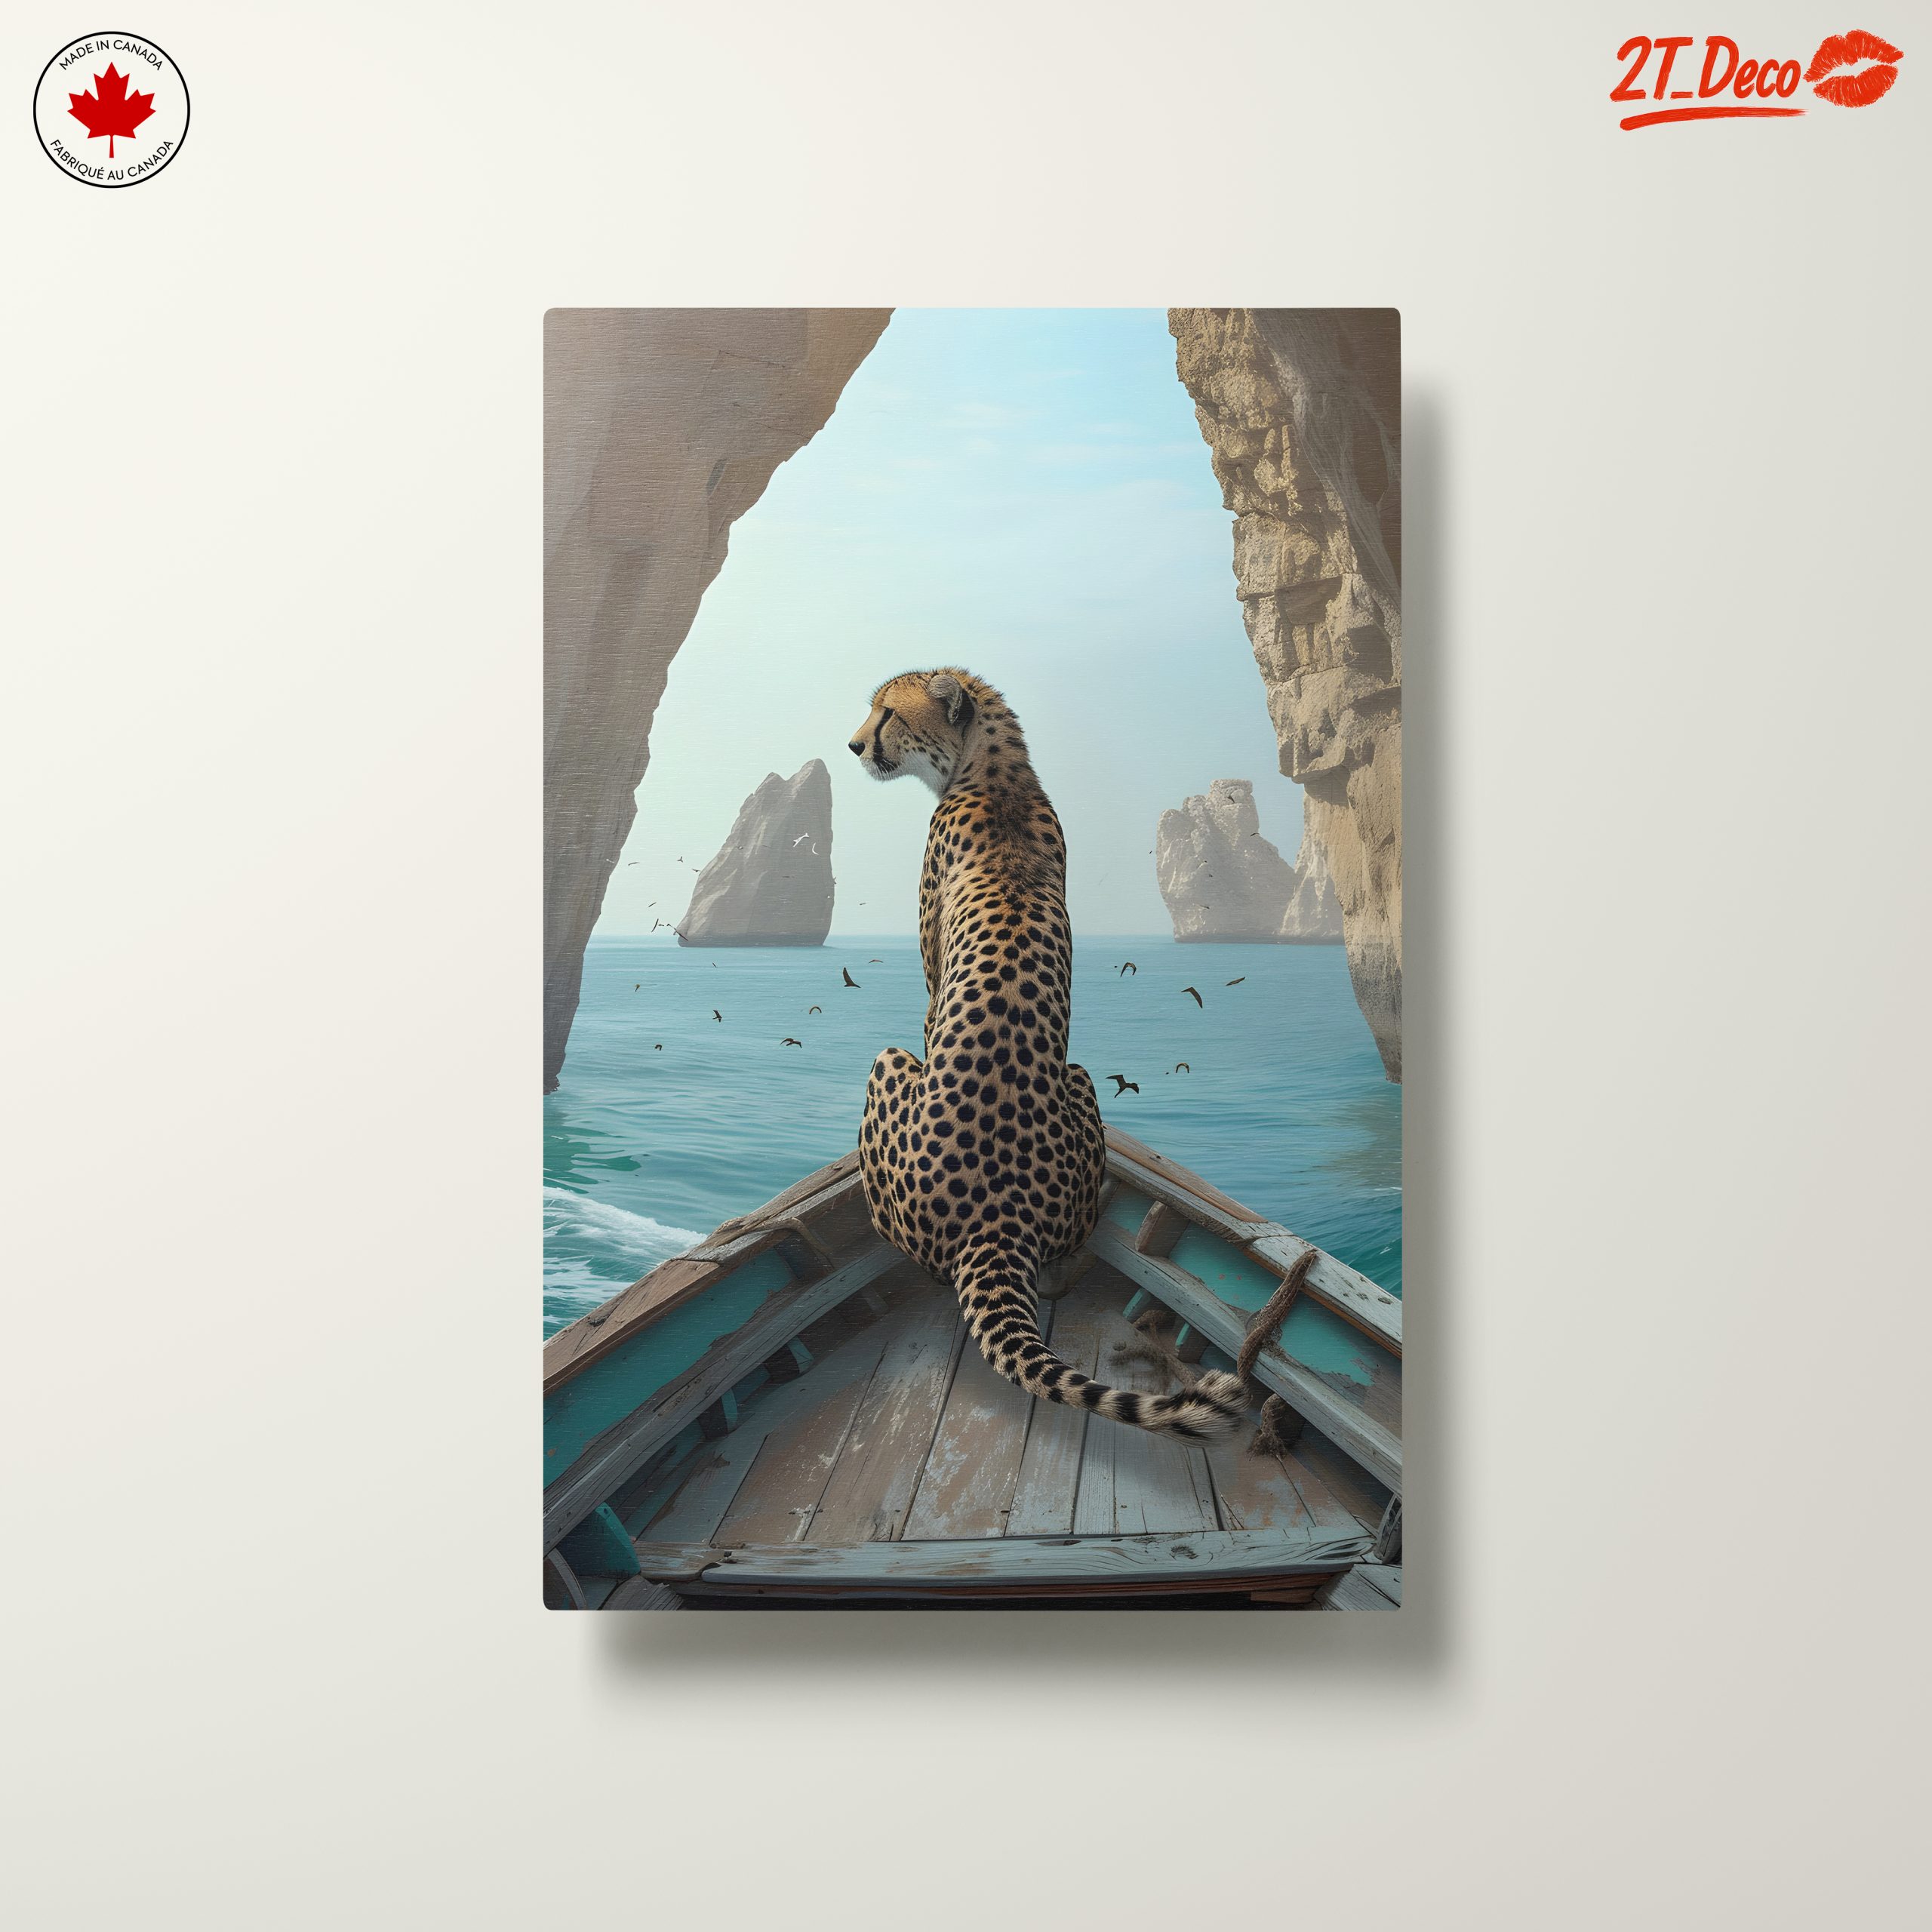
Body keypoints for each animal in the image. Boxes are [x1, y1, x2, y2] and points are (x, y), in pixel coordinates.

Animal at [847, 667, 1246, 1439]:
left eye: (887, 713)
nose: (853, 747)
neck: (993, 773)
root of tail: (998, 1218)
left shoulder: (930, 980)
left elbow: (926, 1009)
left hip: (899, 1070)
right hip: (1081, 1080)